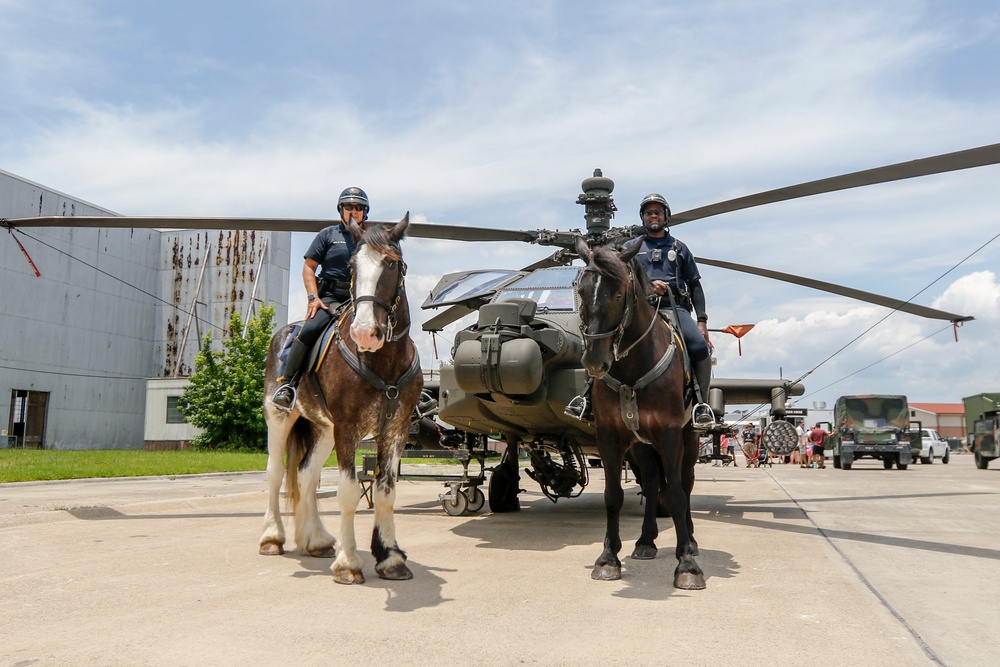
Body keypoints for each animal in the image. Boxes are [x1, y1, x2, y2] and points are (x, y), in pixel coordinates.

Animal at [258, 214, 422, 584]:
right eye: (352, 266)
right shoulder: (347, 427)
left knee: (306, 475)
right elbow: (348, 493)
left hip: (321, 429)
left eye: (392, 263)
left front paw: (390, 558)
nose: (365, 333)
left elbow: (385, 492)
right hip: (280, 418)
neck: (382, 360)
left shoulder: (396, 429)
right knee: (276, 473)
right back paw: (272, 538)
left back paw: (316, 540)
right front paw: (349, 563)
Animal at [576, 239, 708, 588]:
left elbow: (675, 494)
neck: (633, 368)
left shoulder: (670, 435)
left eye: (619, 293)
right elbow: (612, 495)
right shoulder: (609, 437)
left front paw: (687, 565)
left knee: (685, 484)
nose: (594, 361)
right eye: (580, 291)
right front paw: (608, 558)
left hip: (688, 441)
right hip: (641, 446)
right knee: (649, 483)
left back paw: (690, 541)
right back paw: (646, 541)